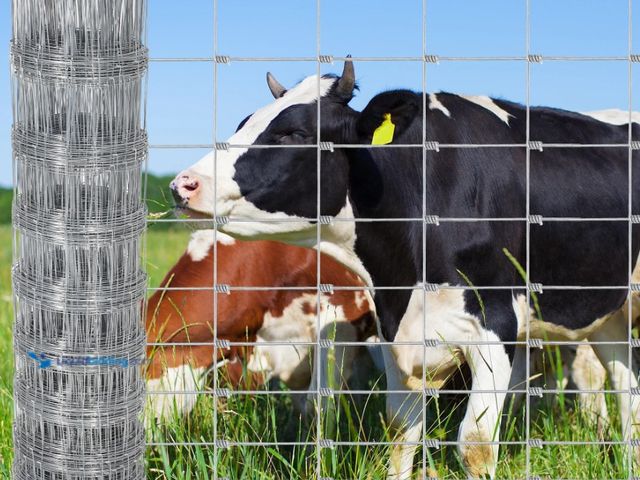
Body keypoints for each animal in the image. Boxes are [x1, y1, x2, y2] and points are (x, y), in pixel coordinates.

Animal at [169, 59, 640, 479]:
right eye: (244, 123)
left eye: (295, 133)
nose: (182, 184)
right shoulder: (396, 332)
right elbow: (400, 431)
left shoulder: (496, 325)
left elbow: (474, 444)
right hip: (610, 316)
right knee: (626, 388)